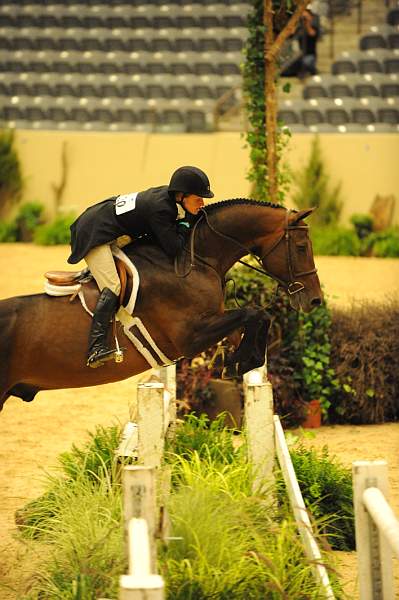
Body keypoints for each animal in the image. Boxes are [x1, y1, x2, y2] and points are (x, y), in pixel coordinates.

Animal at [0, 198, 322, 412]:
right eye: (301, 248)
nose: (315, 299)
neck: (195, 259)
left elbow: (257, 318)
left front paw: (241, 360)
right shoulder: (190, 337)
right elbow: (255, 312)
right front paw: (242, 361)